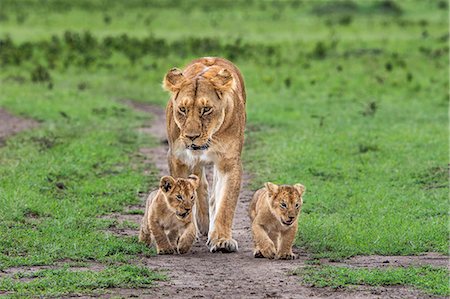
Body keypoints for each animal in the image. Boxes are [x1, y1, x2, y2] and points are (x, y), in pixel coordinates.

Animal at [163, 56, 246, 253]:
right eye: (183, 109)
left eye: (206, 109)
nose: (191, 136)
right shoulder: (177, 159)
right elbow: (184, 194)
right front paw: (186, 233)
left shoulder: (229, 162)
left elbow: (226, 203)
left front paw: (222, 240)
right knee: (199, 184)